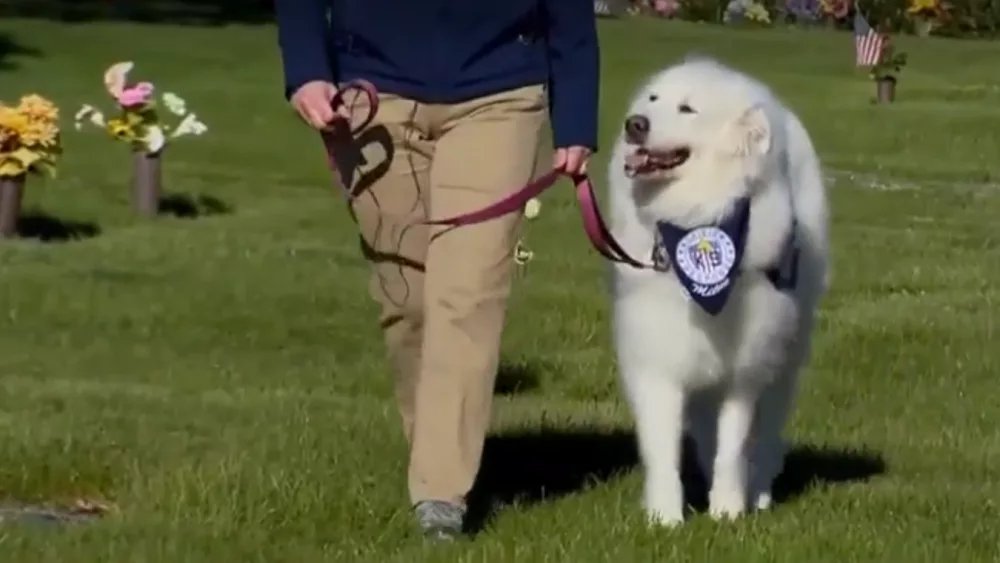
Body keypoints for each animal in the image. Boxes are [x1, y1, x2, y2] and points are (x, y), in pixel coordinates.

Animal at [604, 55, 832, 528]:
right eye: (653, 100)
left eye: (687, 109)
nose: (634, 124)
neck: (695, 219)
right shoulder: (657, 361)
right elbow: (663, 449)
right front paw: (666, 518)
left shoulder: (743, 373)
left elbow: (734, 447)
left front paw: (728, 512)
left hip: (784, 360)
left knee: (766, 435)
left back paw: (758, 494)